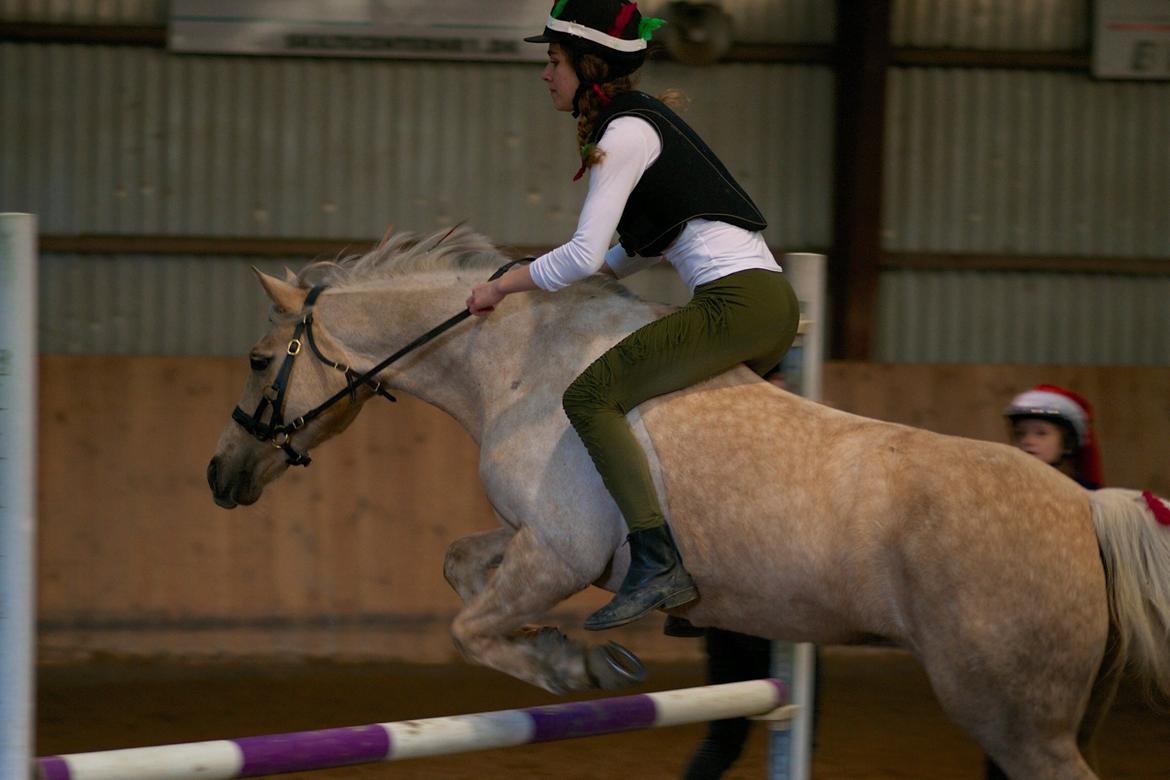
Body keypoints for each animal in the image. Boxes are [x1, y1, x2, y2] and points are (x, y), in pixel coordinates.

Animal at [210, 225, 1170, 776]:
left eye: (258, 360)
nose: (222, 476)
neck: (513, 363)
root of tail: (1087, 508)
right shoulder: (540, 545)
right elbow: (459, 568)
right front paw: (572, 654)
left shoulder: (557, 555)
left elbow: (472, 627)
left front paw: (577, 668)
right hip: (1054, 719)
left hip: (1015, 722)